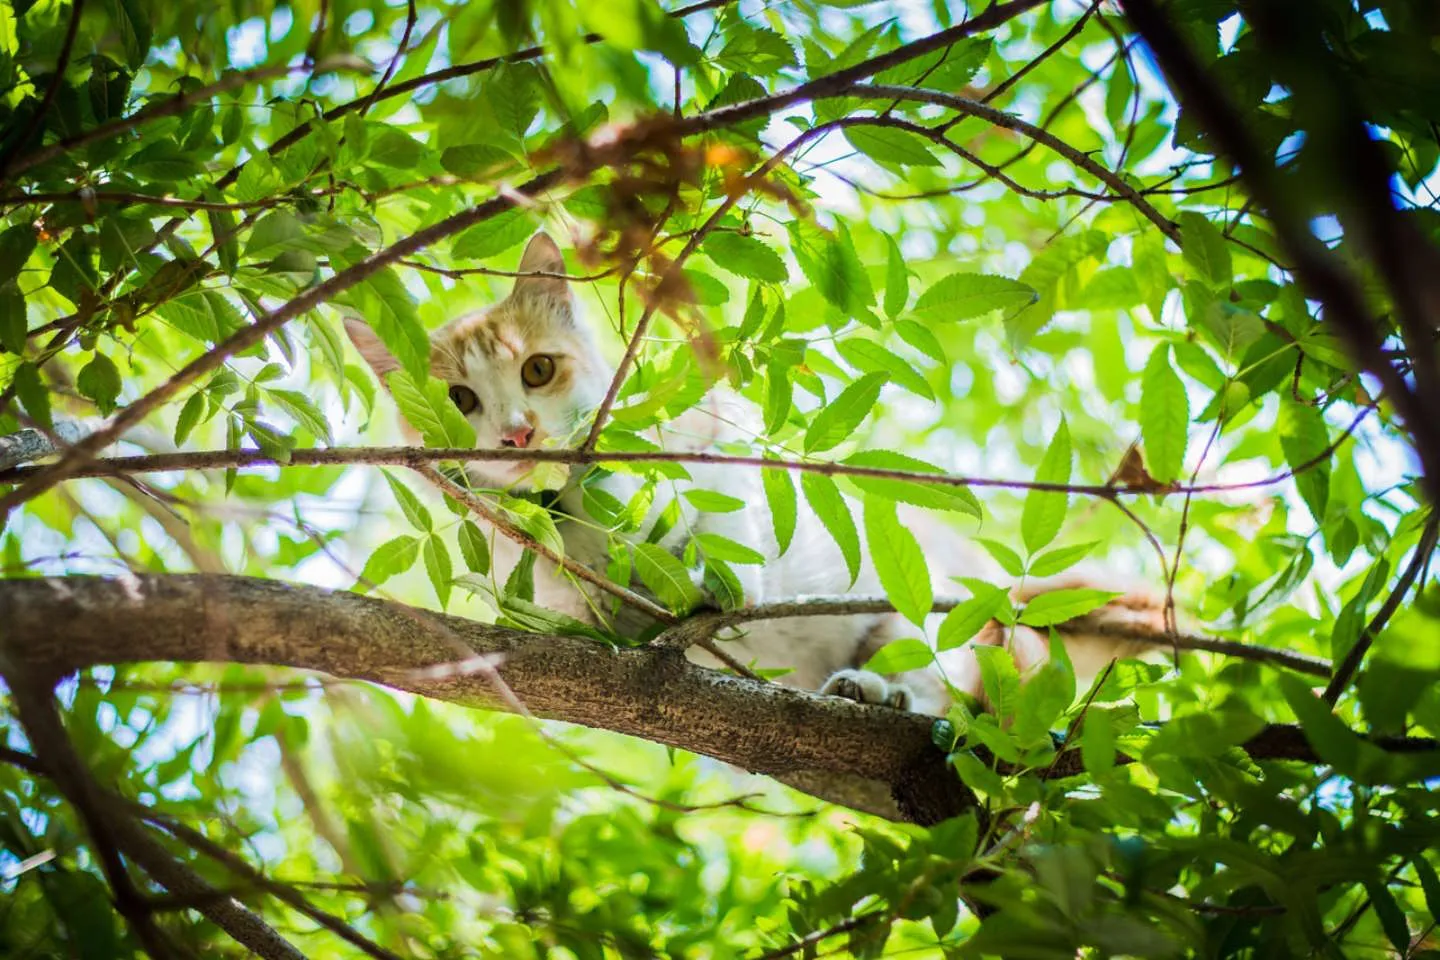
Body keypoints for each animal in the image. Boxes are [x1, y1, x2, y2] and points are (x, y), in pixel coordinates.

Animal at [339, 230, 1157, 713]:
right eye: (462, 401)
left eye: (537, 369)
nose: (517, 431)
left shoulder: (710, 430)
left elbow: (720, 504)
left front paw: (723, 577)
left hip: (922, 615)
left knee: (942, 692)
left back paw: (881, 691)